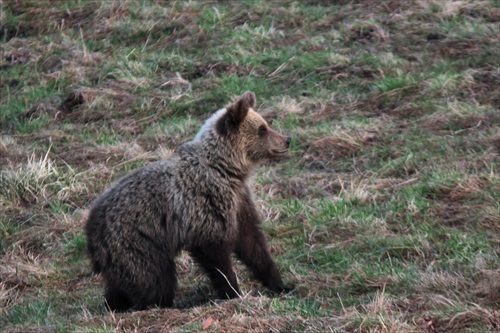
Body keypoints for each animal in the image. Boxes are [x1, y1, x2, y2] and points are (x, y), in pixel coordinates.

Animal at [84, 89, 292, 310]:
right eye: (262, 129)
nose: (287, 139)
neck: (226, 170)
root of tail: (90, 227)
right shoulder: (204, 206)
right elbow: (214, 255)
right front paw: (232, 292)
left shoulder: (239, 202)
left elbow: (253, 244)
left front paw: (280, 284)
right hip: (136, 242)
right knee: (154, 279)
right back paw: (157, 305)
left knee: (123, 284)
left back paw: (114, 304)